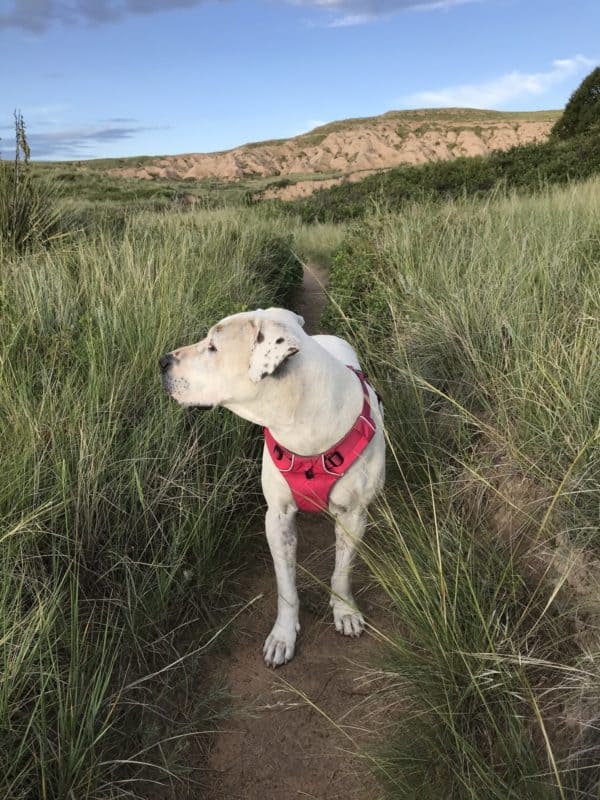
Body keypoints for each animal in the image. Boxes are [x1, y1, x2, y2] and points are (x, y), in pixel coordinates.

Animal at [159, 310, 384, 664]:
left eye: (213, 347)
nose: (162, 361)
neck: (303, 422)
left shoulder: (353, 516)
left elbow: (343, 571)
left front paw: (345, 610)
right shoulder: (277, 518)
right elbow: (286, 586)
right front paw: (283, 634)